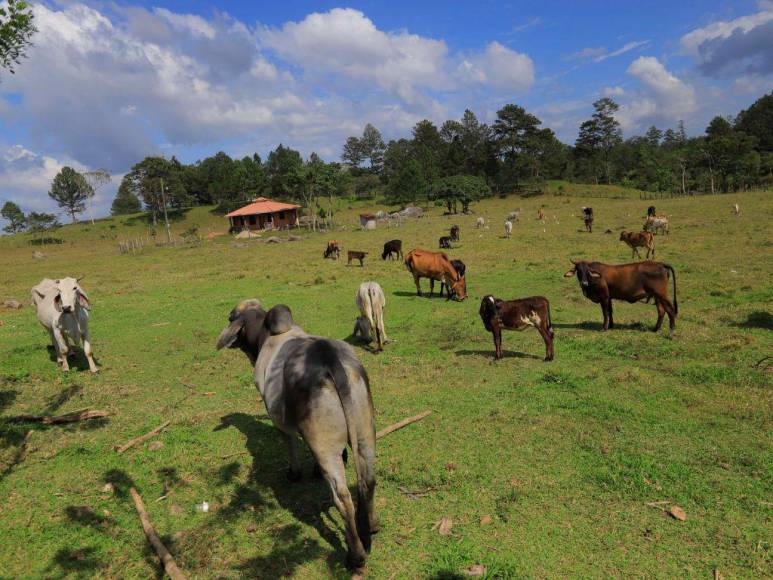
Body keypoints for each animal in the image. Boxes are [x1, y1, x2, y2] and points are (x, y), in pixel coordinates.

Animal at [217, 304, 376, 572]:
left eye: (231, 317)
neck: (265, 335)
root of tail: (328, 358)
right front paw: (314, 471)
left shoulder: (278, 418)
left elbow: (290, 445)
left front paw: (294, 474)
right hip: (365, 433)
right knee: (369, 481)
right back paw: (372, 526)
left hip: (326, 445)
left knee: (343, 498)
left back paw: (355, 556)